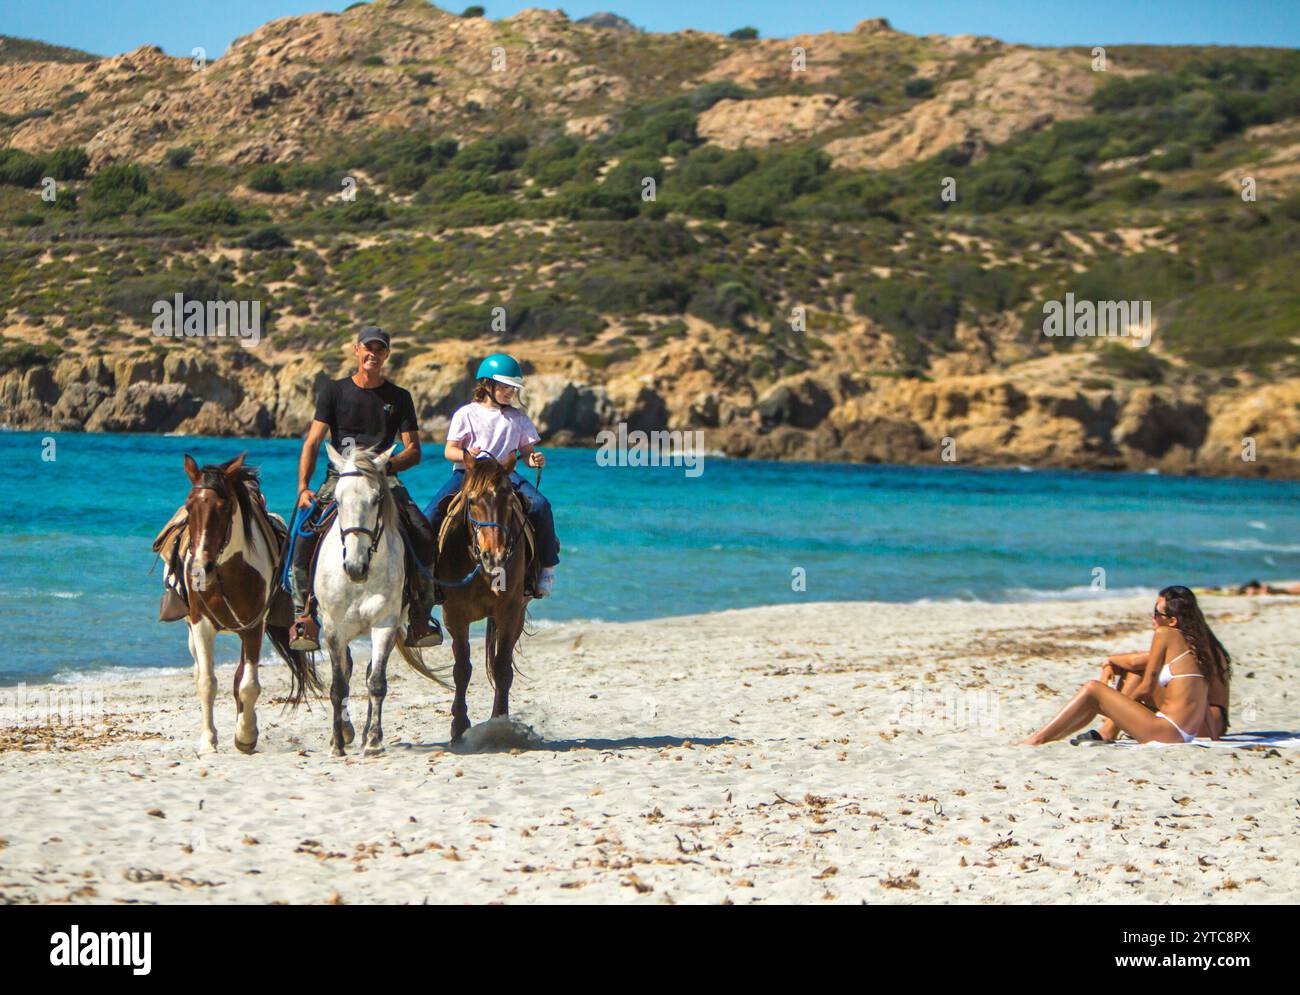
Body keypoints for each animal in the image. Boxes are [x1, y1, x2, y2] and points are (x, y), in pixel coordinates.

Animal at [434, 455, 530, 743]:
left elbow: (502, 669)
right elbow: (462, 669)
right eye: (473, 501)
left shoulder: (509, 612)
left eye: (509, 500)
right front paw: (458, 726)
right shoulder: (454, 616)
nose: (494, 556)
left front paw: (500, 723)